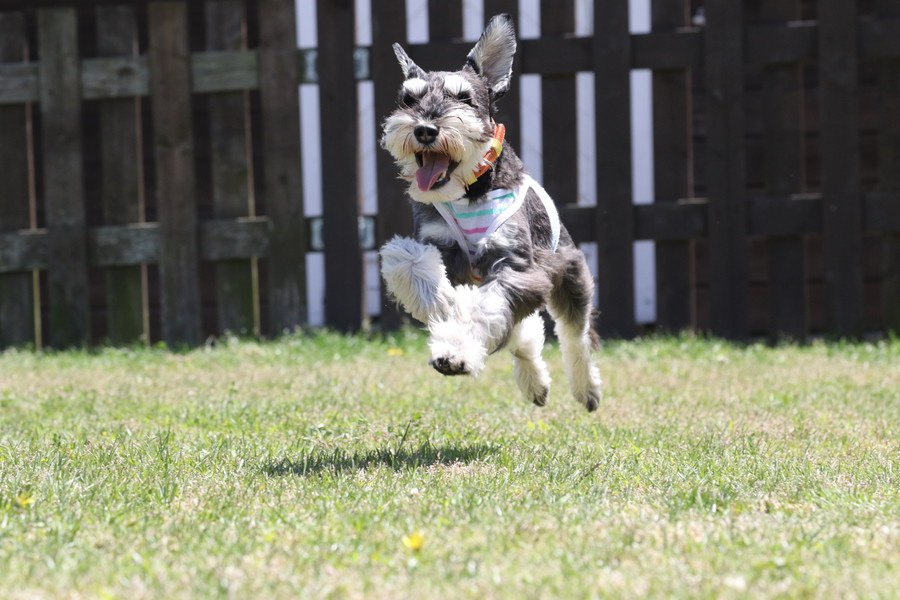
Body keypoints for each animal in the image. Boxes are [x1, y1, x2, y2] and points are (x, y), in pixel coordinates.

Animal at [376, 12, 600, 412]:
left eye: (464, 97)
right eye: (408, 99)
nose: (425, 129)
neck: (469, 191)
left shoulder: (518, 266)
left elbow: (482, 309)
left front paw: (455, 352)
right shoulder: (440, 245)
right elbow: (408, 259)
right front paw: (441, 300)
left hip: (569, 272)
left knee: (576, 333)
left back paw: (586, 388)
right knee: (522, 334)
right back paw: (535, 383)